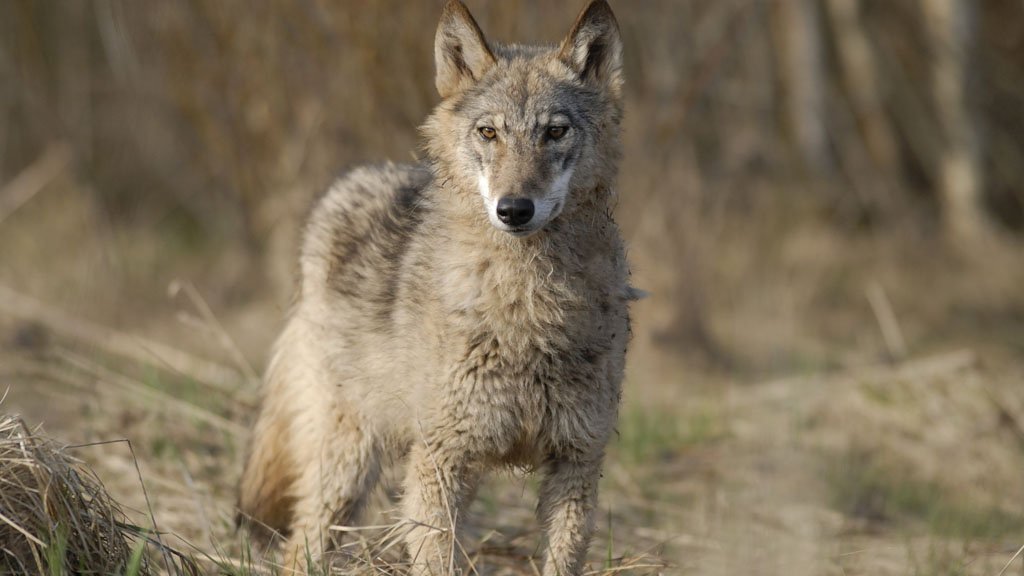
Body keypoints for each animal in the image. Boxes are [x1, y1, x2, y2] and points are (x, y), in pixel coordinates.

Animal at [237, 1, 633, 574]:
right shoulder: (441, 458)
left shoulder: (577, 461)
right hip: (349, 465)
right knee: (301, 546)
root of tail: (343, 187)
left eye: (555, 132)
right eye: (488, 132)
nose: (514, 210)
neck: (527, 307)